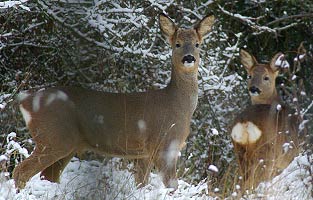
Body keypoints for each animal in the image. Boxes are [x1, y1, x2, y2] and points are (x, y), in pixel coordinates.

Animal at [13, 13, 216, 189]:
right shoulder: (164, 144)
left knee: (48, 175)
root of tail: (24, 100)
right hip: (53, 137)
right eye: (177, 44)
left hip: (65, 144)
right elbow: (172, 185)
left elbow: (141, 183)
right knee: (21, 171)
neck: (179, 106)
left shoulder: (143, 152)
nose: (189, 58)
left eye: (197, 44)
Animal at [230, 49, 302, 190]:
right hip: (266, 154)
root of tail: (244, 123)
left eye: (266, 77)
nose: (253, 88)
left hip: (240, 152)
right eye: (249, 76)